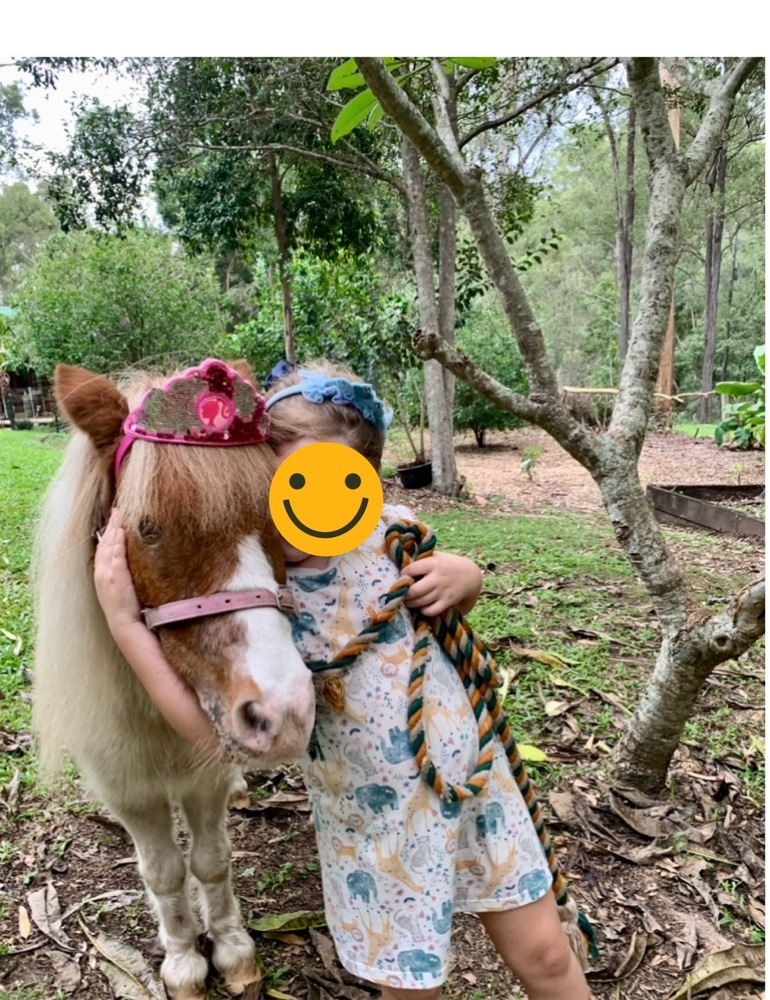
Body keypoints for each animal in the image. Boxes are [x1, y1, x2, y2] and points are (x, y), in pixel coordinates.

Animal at [32, 359, 316, 1000]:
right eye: (147, 528)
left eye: (280, 522)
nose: (285, 713)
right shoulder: (127, 789)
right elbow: (162, 872)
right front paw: (185, 960)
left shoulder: (201, 779)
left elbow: (210, 859)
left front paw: (232, 951)